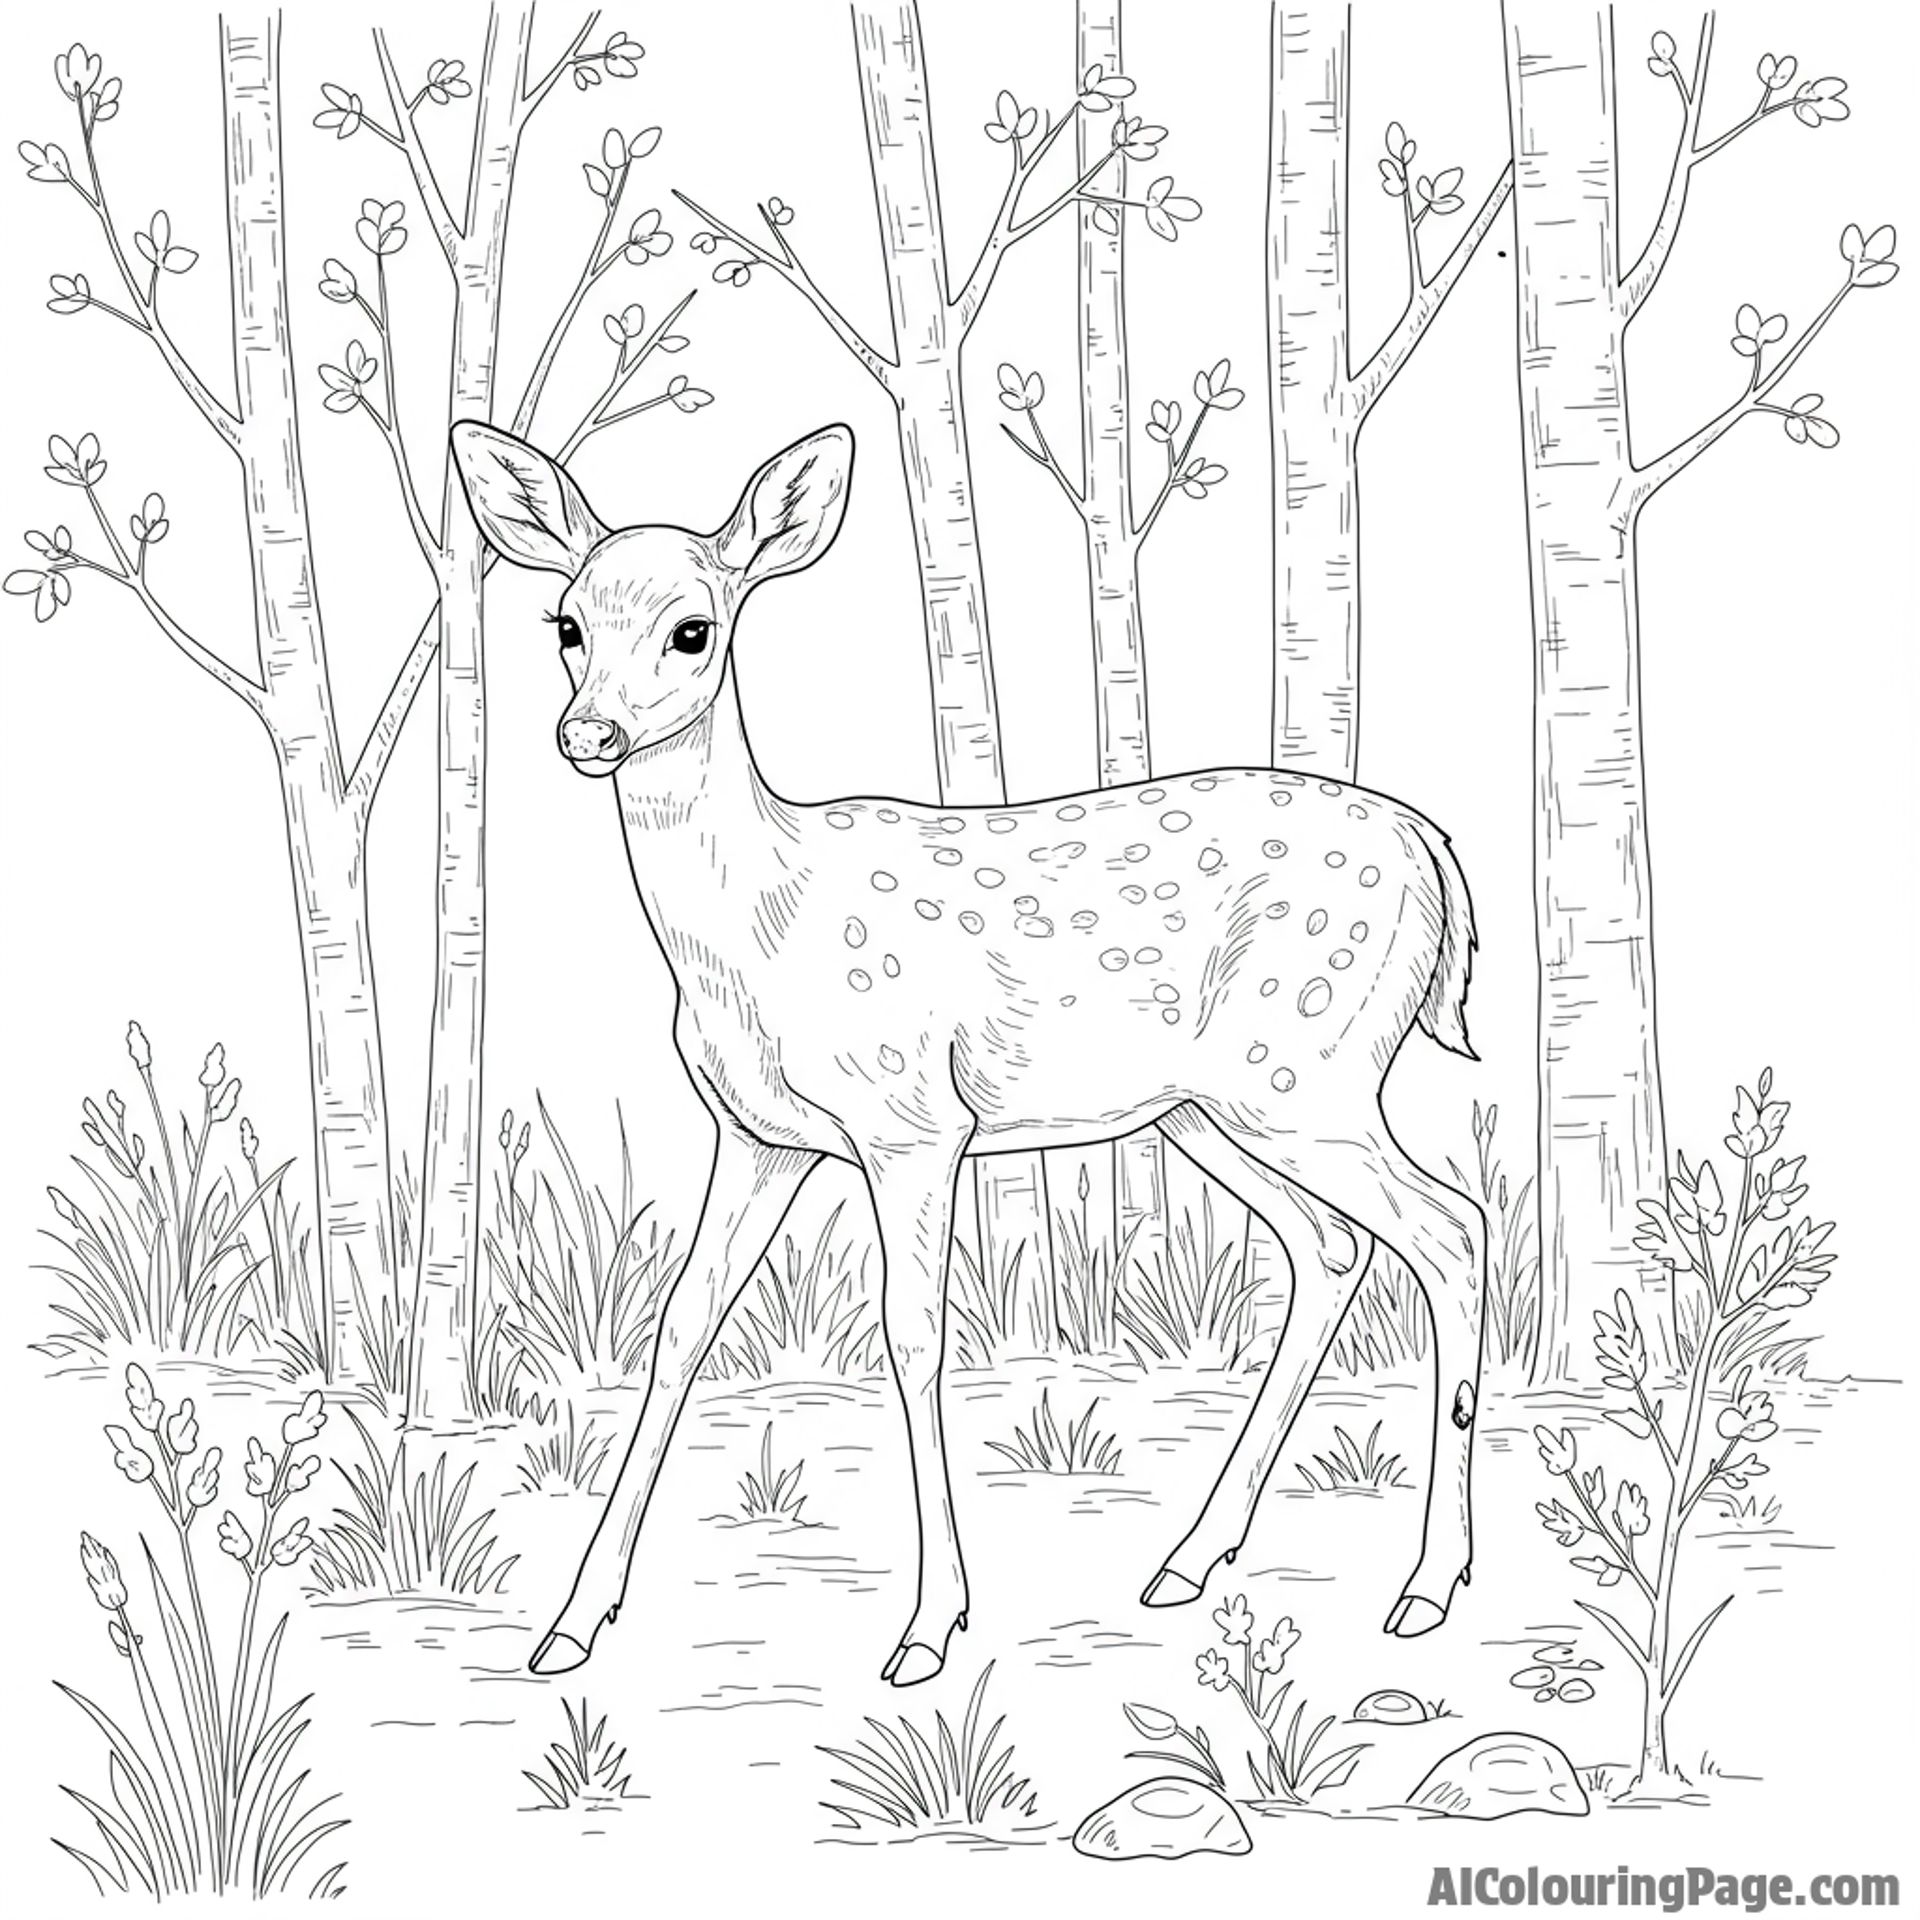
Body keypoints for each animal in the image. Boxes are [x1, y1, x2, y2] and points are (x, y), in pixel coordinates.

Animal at [450, 418, 1488, 1687]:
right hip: (1213, 1106)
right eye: (564, 623)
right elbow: (682, 1326)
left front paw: (927, 1628)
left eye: (695, 626)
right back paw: (1190, 1562)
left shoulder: (912, 1121)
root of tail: (1434, 850)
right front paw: (570, 1624)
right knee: (1331, 1250)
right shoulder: (757, 1136)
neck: (757, 925)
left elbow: (913, 1336)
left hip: (1313, 1070)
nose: (588, 733)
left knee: (1452, 1230)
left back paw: (1427, 1588)